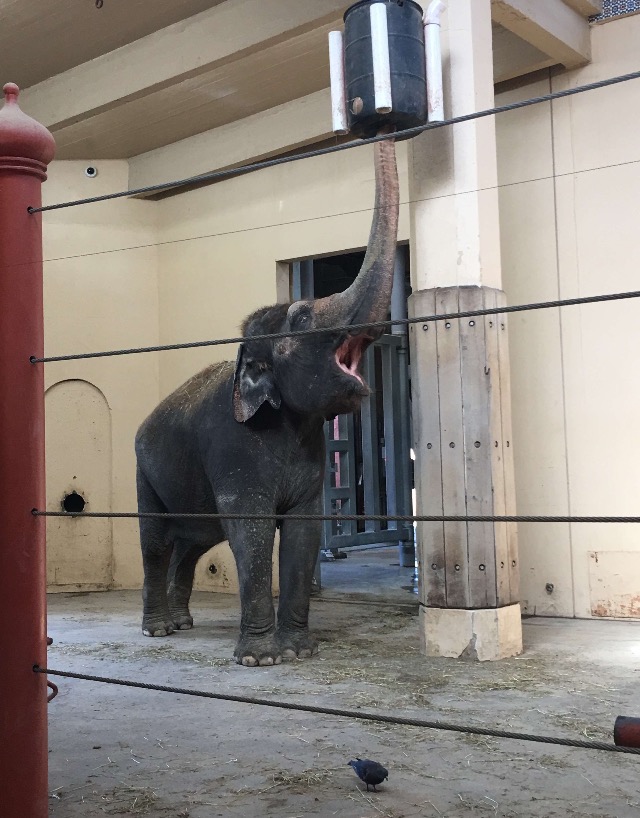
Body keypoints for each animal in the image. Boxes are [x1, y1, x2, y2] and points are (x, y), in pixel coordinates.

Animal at [135, 135, 399, 666]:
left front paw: (298, 650)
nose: (379, 128)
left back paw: (182, 622)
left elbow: (303, 529)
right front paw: (260, 659)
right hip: (143, 473)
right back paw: (158, 629)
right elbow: (252, 530)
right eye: (301, 319)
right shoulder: (235, 449)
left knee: (191, 541)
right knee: (156, 542)